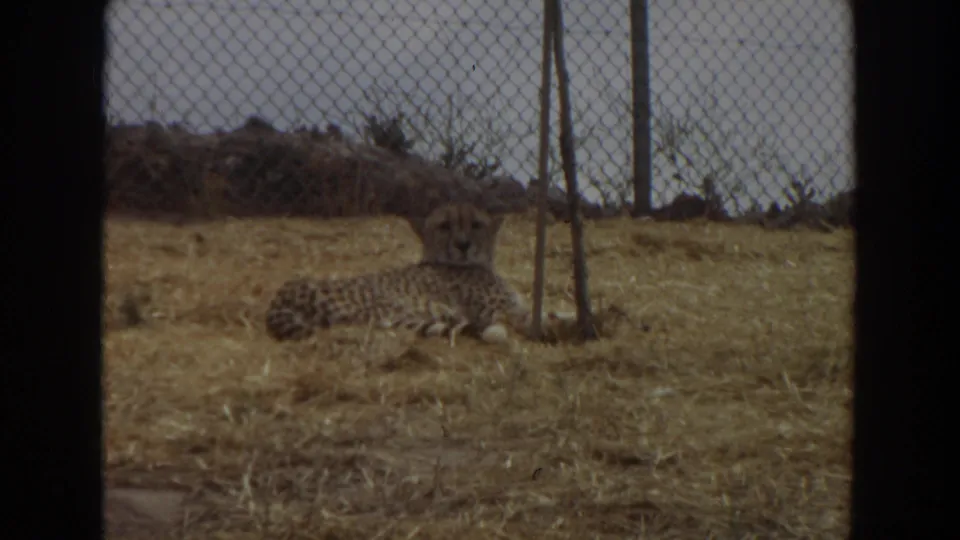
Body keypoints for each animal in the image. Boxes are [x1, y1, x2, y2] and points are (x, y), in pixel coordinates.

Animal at [264, 203, 569, 346]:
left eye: (476, 224)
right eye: (445, 226)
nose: (463, 244)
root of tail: (283, 293)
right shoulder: (502, 310)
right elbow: (536, 315)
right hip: (400, 306)